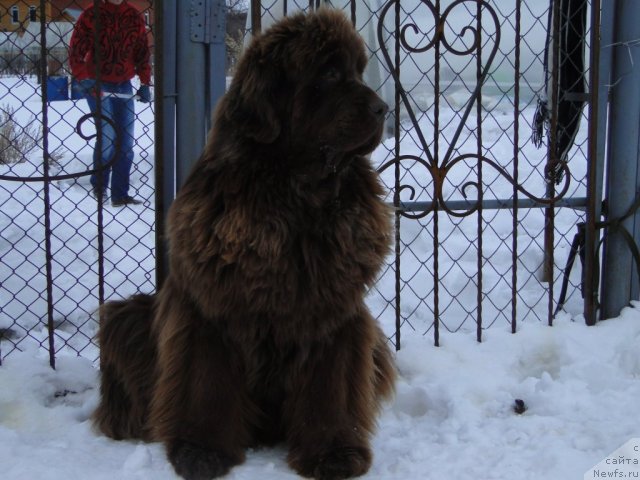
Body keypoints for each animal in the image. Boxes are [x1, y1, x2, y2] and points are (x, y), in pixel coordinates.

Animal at [94, 8, 396, 480]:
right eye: (329, 73)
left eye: (358, 72)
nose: (384, 108)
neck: (295, 199)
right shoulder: (212, 312)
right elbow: (207, 385)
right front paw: (201, 451)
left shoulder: (334, 316)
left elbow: (330, 389)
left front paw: (334, 452)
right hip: (129, 318)